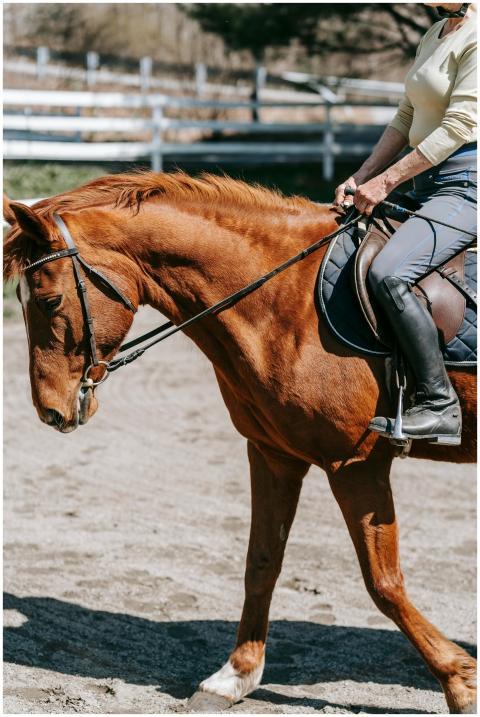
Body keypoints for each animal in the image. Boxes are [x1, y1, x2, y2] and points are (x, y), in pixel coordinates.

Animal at [3, 171, 476, 714]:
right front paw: (234, 676)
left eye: (49, 301)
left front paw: (460, 681)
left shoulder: (355, 465)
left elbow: (383, 582)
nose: (50, 411)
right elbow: (261, 563)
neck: (284, 300)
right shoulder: (272, 455)